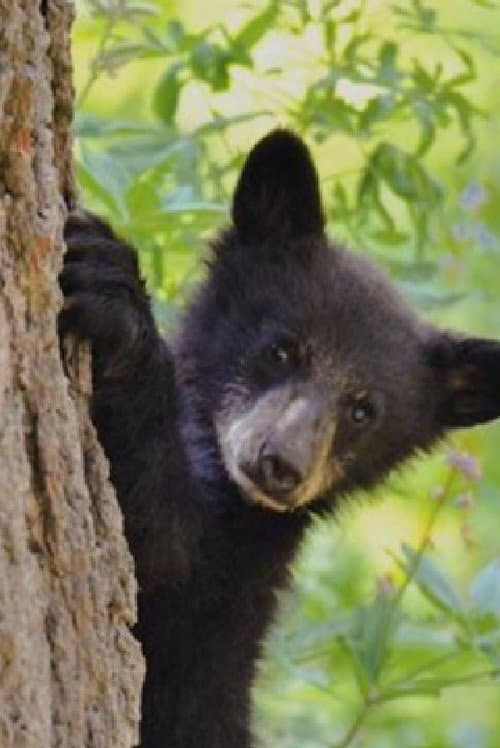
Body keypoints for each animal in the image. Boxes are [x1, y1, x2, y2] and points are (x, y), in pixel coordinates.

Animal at [60, 129, 500, 748]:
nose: (280, 466)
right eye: (282, 350)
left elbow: (163, 545)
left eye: (363, 411)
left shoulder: (231, 572)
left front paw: (114, 295)